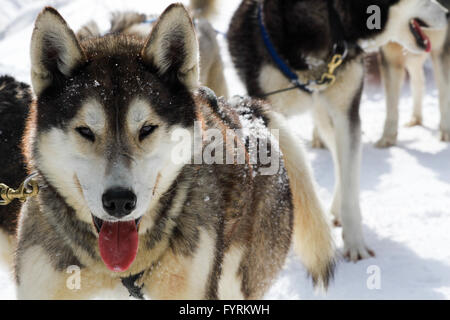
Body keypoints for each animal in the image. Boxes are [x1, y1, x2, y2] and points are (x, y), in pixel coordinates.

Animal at [376, 0, 450, 147]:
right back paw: (416, 118)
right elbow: (391, 104)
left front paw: (446, 131)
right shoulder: (390, 59)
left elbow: (444, 95)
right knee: (419, 81)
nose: (447, 14)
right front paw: (388, 136)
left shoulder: (440, 51)